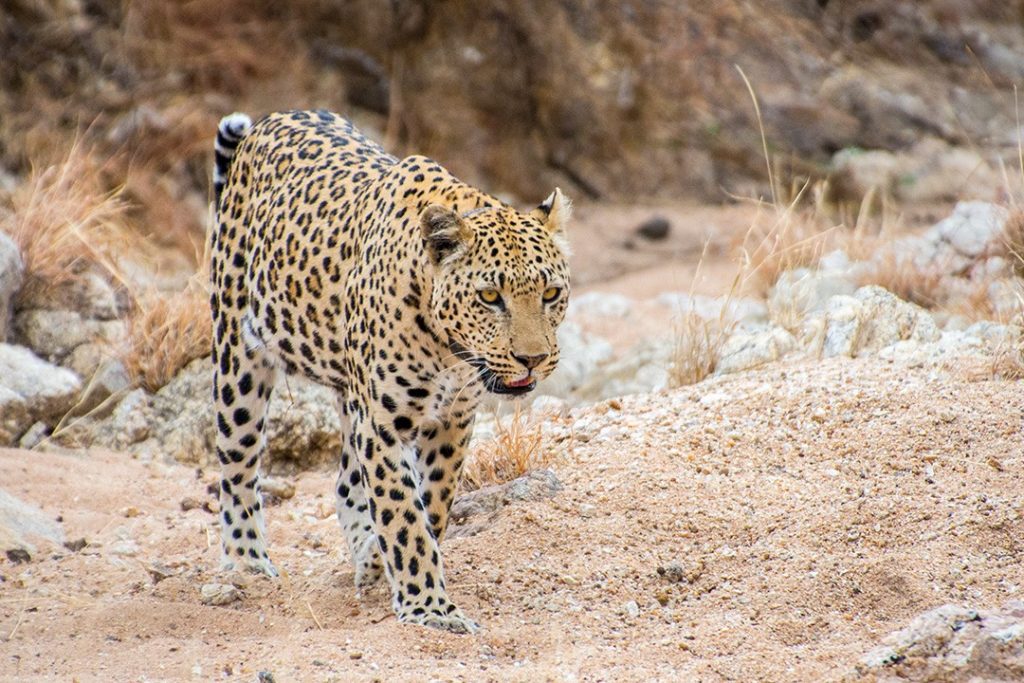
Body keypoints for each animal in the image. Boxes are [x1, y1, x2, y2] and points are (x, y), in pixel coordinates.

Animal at [208, 108, 573, 634]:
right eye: (489, 297)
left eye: (550, 293)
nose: (533, 358)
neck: (449, 351)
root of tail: (274, 118)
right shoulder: (381, 424)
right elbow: (403, 514)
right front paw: (430, 607)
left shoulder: (452, 422)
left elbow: (432, 502)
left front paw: (393, 570)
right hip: (239, 355)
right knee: (238, 465)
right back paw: (247, 561)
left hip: (348, 391)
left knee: (345, 483)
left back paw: (365, 556)